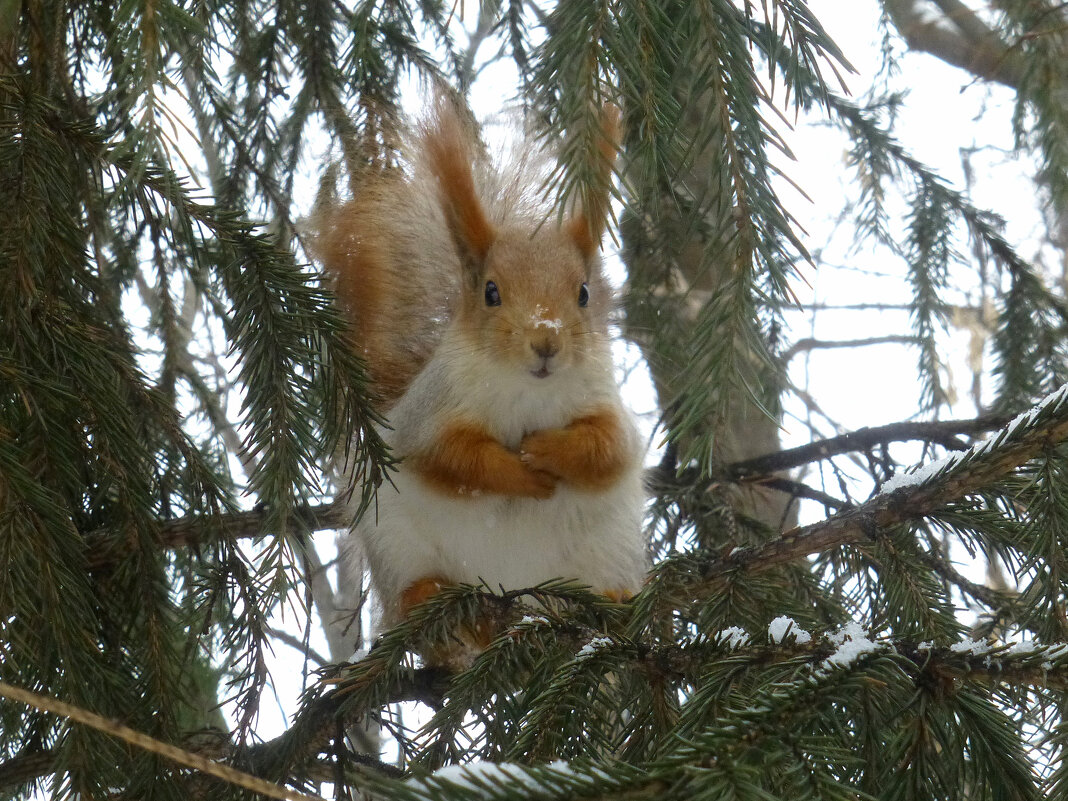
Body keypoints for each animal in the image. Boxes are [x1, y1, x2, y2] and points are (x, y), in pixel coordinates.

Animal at [311, 98, 645, 666]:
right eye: (491, 292)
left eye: (583, 293)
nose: (546, 341)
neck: (528, 392)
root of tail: (513, 600)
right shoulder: (427, 416)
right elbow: (452, 458)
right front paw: (519, 472)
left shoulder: (606, 405)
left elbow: (606, 450)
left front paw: (549, 450)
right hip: (396, 544)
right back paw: (433, 604)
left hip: (608, 547)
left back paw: (611, 599)